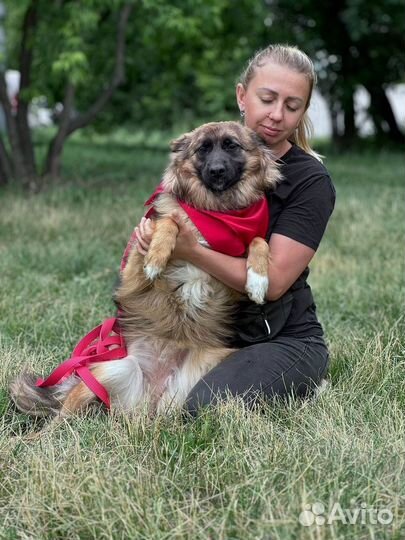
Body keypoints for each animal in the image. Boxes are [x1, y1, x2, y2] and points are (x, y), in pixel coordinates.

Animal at [9, 121, 280, 422]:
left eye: (231, 145)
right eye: (203, 149)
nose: (216, 171)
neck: (216, 212)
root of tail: (149, 402)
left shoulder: (230, 285)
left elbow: (258, 241)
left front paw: (258, 280)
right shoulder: (134, 269)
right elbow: (169, 222)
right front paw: (156, 257)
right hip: (108, 371)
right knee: (59, 421)